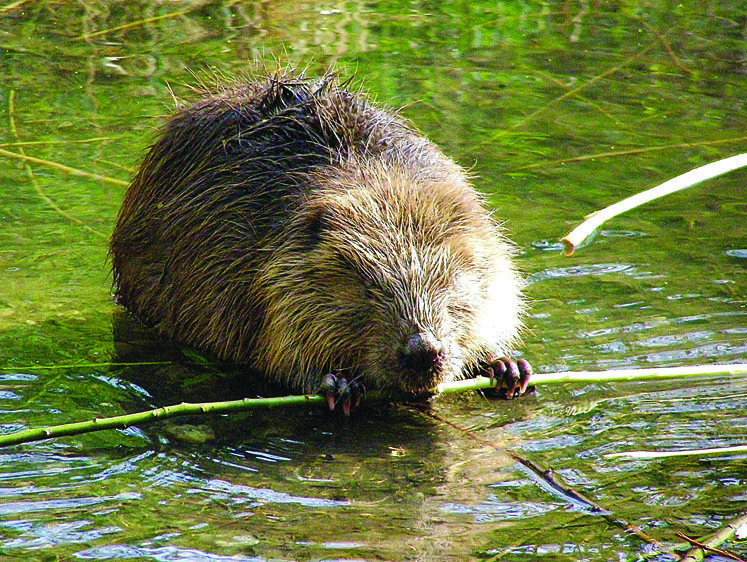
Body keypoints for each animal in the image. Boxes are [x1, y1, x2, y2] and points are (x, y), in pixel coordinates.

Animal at [109, 71, 532, 412]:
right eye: (368, 287)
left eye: (450, 284)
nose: (422, 349)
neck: (375, 178)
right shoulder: (249, 268)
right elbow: (278, 343)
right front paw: (338, 384)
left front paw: (508, 366)